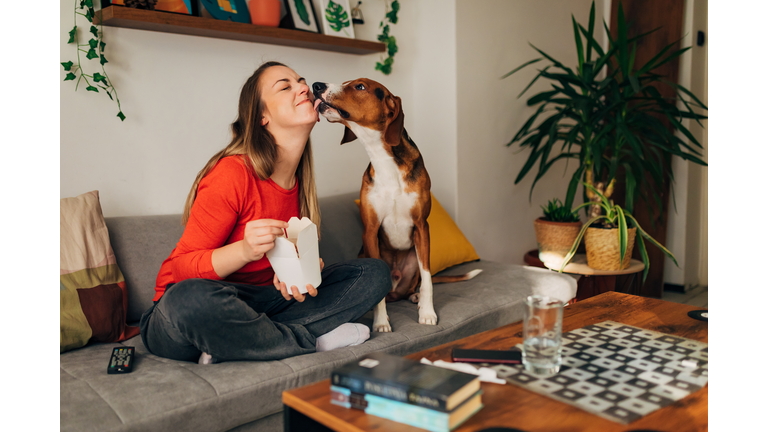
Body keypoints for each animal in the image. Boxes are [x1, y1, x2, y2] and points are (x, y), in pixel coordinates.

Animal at [310, 79, 480, 332]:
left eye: (360, 86)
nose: (316, 85)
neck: (383, 158)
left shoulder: (422, 227)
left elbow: (428, 279)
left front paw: (427, 313)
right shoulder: (370, 230)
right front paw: (381, 322)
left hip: (416, 255)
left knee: (416, 283)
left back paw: (415, 297)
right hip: (364, 254)